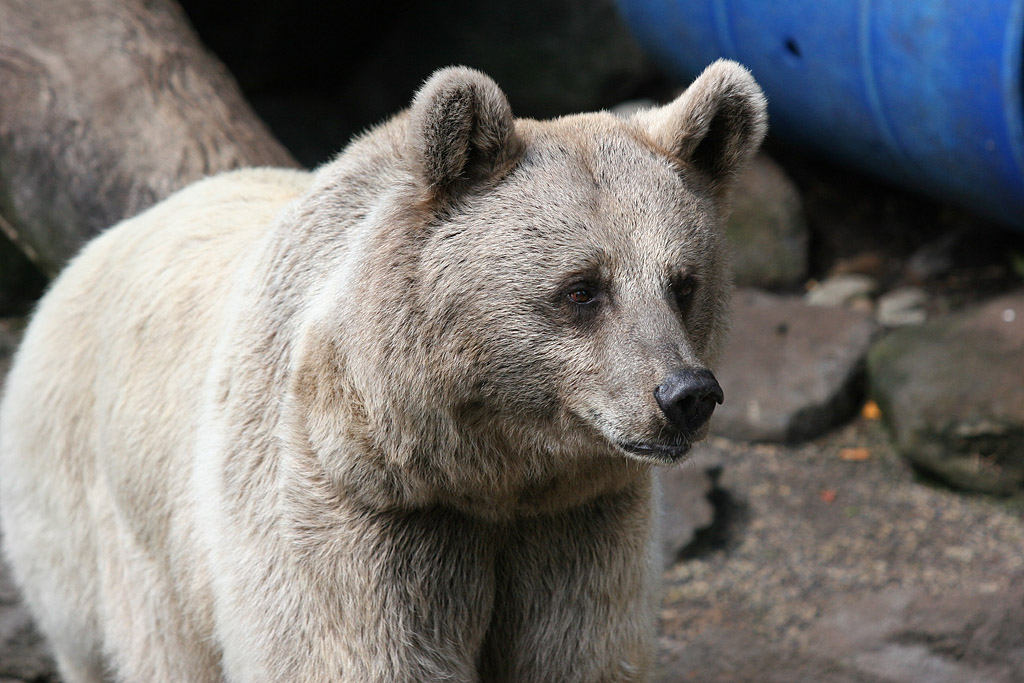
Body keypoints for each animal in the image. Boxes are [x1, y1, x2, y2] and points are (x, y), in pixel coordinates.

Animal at [0, 61, 765, 679]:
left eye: (683, 283)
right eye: (582, 288)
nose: (685, 394)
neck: (488, 473)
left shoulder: (577, 524)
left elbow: (577, 653)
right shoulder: (352, 512)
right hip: (112, 525)